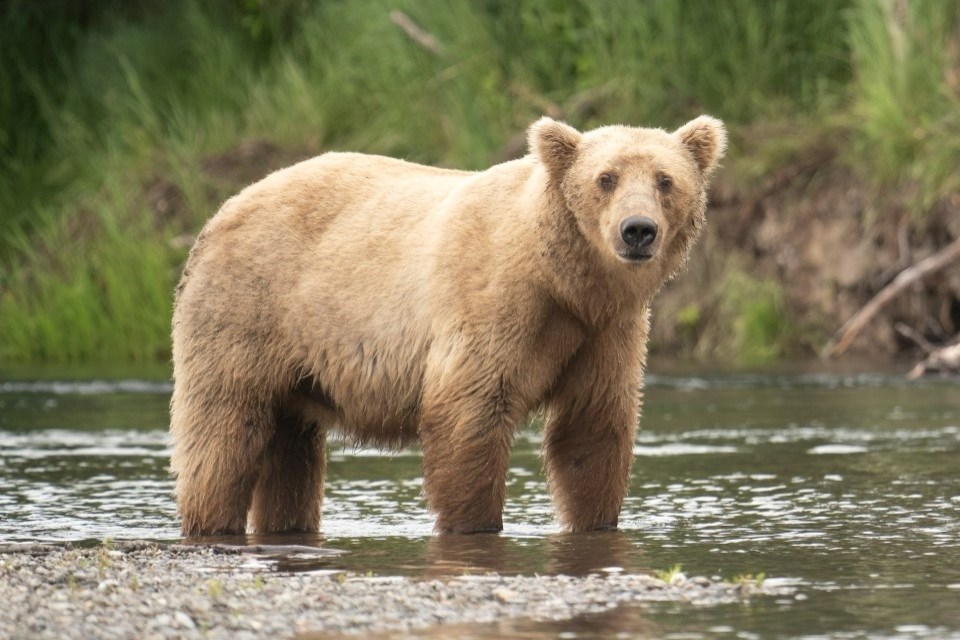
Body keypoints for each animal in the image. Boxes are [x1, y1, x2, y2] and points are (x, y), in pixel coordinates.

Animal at [171, 115, 728, 536]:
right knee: (223, 434)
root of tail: (223, 209)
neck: (563, 280)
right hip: (247, 311)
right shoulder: (493, 305)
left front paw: (595, 519)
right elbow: (470, 415)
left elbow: (592, 429)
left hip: (298, 364)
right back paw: (210, 520)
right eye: (606, 178)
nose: (638, 230)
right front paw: (474, 522)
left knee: (291, 452)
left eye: (665, 180)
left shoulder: (604, 332)